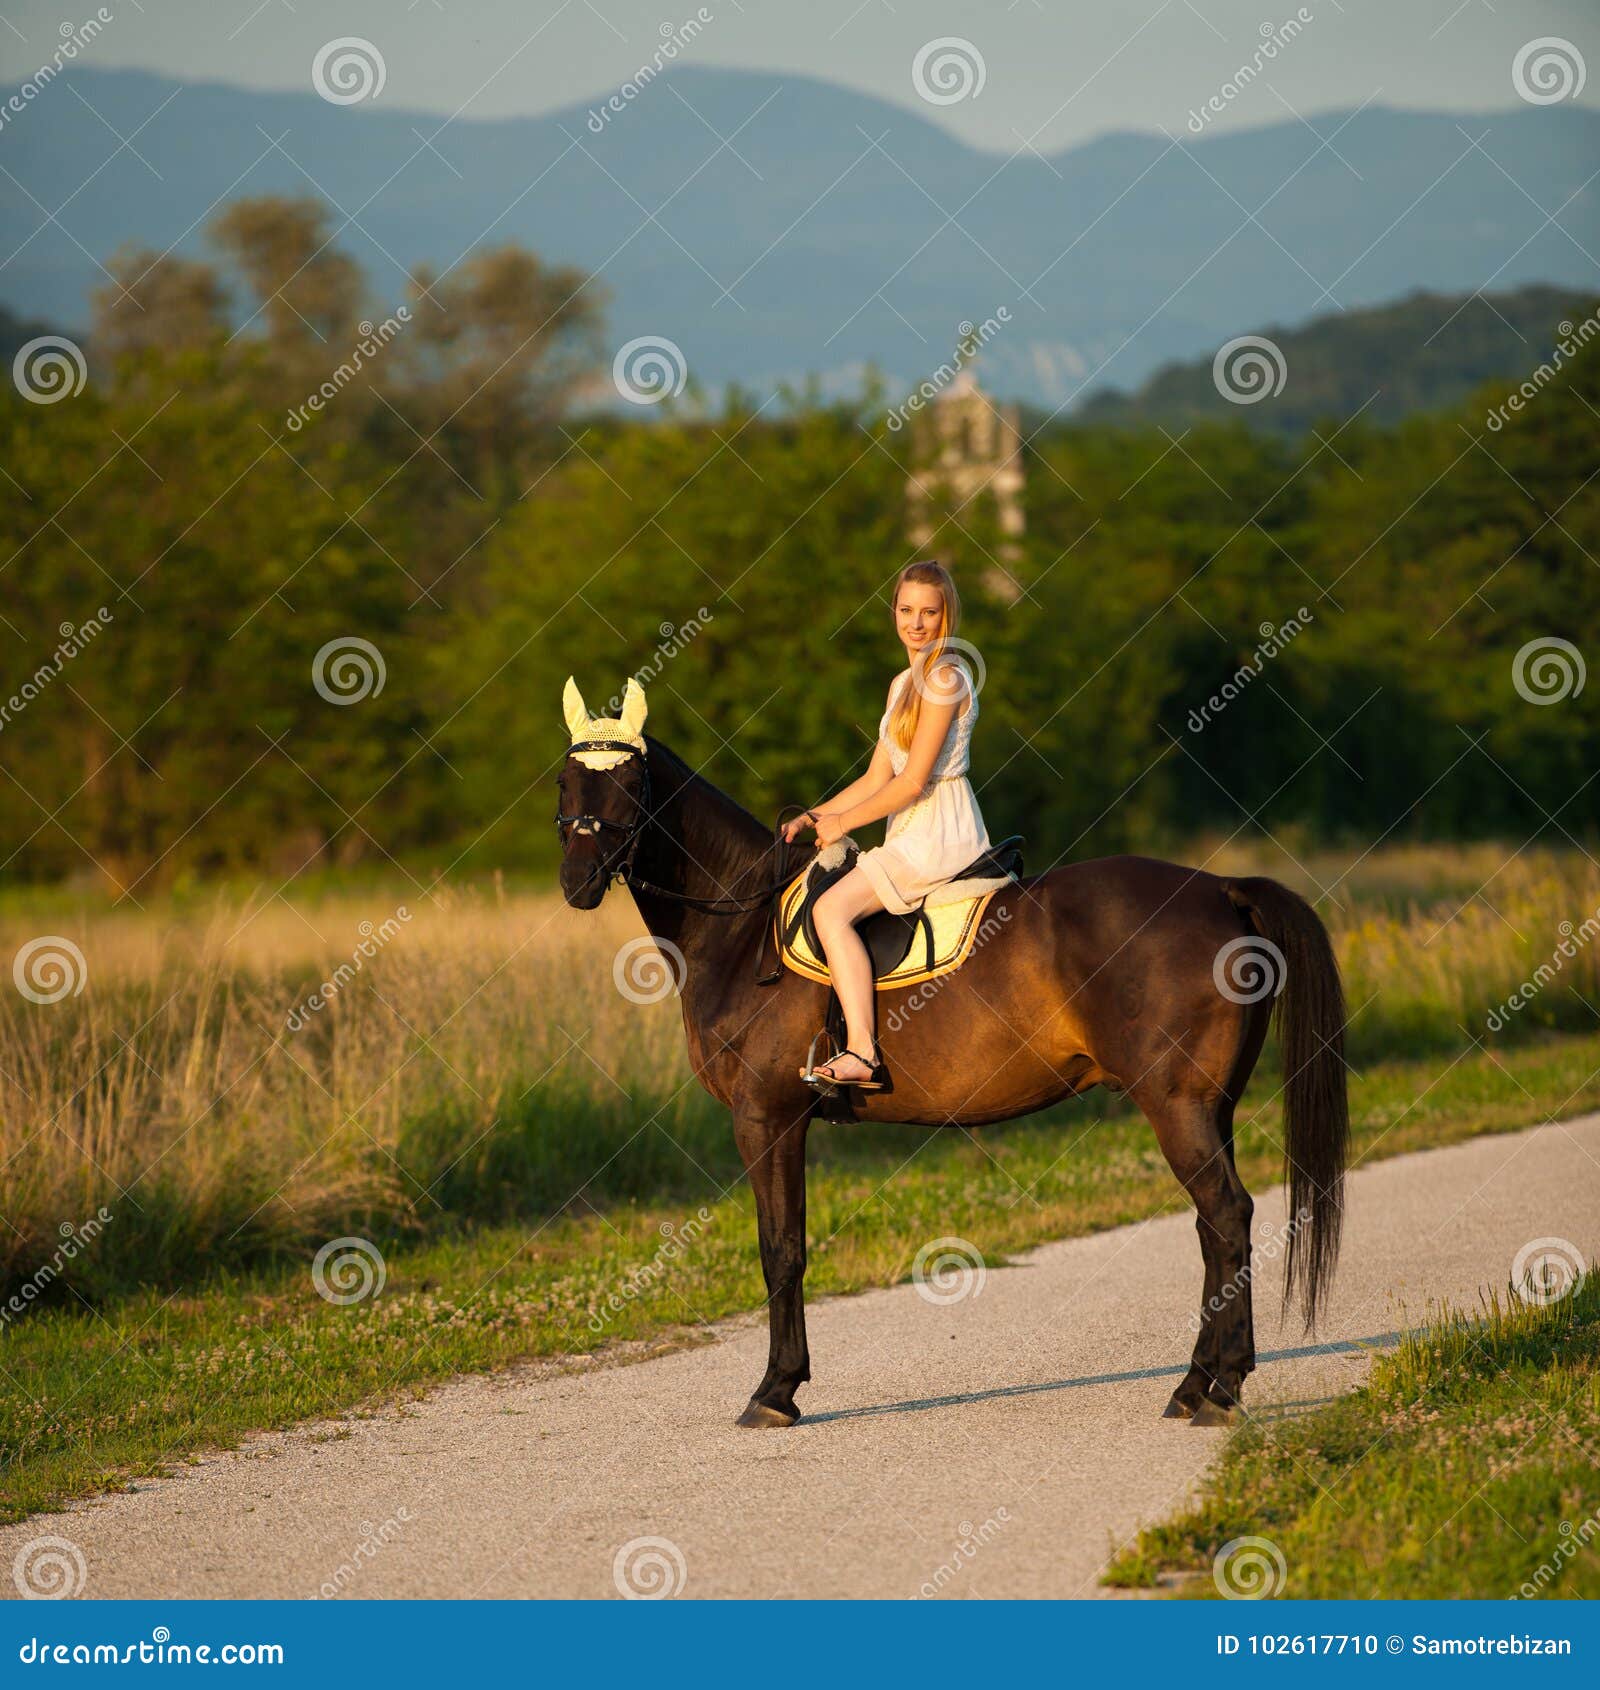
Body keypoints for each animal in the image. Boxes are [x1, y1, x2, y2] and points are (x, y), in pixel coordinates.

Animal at [557, 709, 1344, 1426]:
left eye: (630, 784)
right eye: (565, 782)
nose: (577, 882)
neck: (743, 930)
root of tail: (1220, 890)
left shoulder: (767, 1119)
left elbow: (780, 1250)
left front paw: (775, 1391)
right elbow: (787, 1246)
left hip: (1177, 1105)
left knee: (1225, 1215)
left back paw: (1217, 1389)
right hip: (1211, 1107)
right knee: (1216, 1228)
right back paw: (1199, 1386)